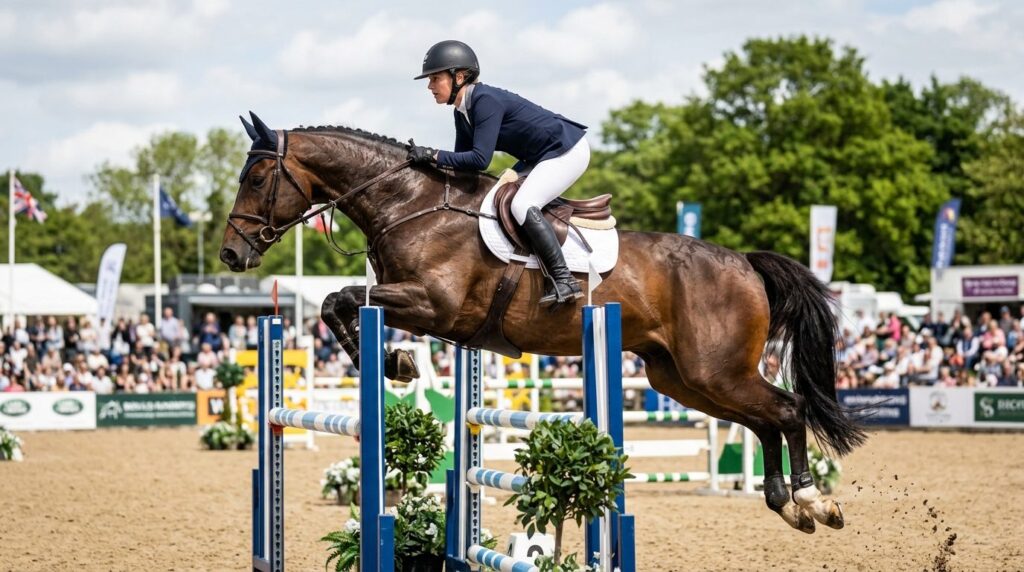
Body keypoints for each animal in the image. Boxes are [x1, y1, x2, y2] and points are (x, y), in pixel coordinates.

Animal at [220, 113, 865, 534]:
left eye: (256, 179)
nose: (231, 254)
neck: (411, 205)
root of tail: (744, 262)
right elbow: (338, 304)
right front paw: (393, 361)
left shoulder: (431, 304)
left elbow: (340, 298)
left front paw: (394, 361)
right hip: (682, 379)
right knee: (764, 419)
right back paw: (787, 504)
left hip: (715, 370)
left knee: (787, 410)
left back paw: (814, 502)